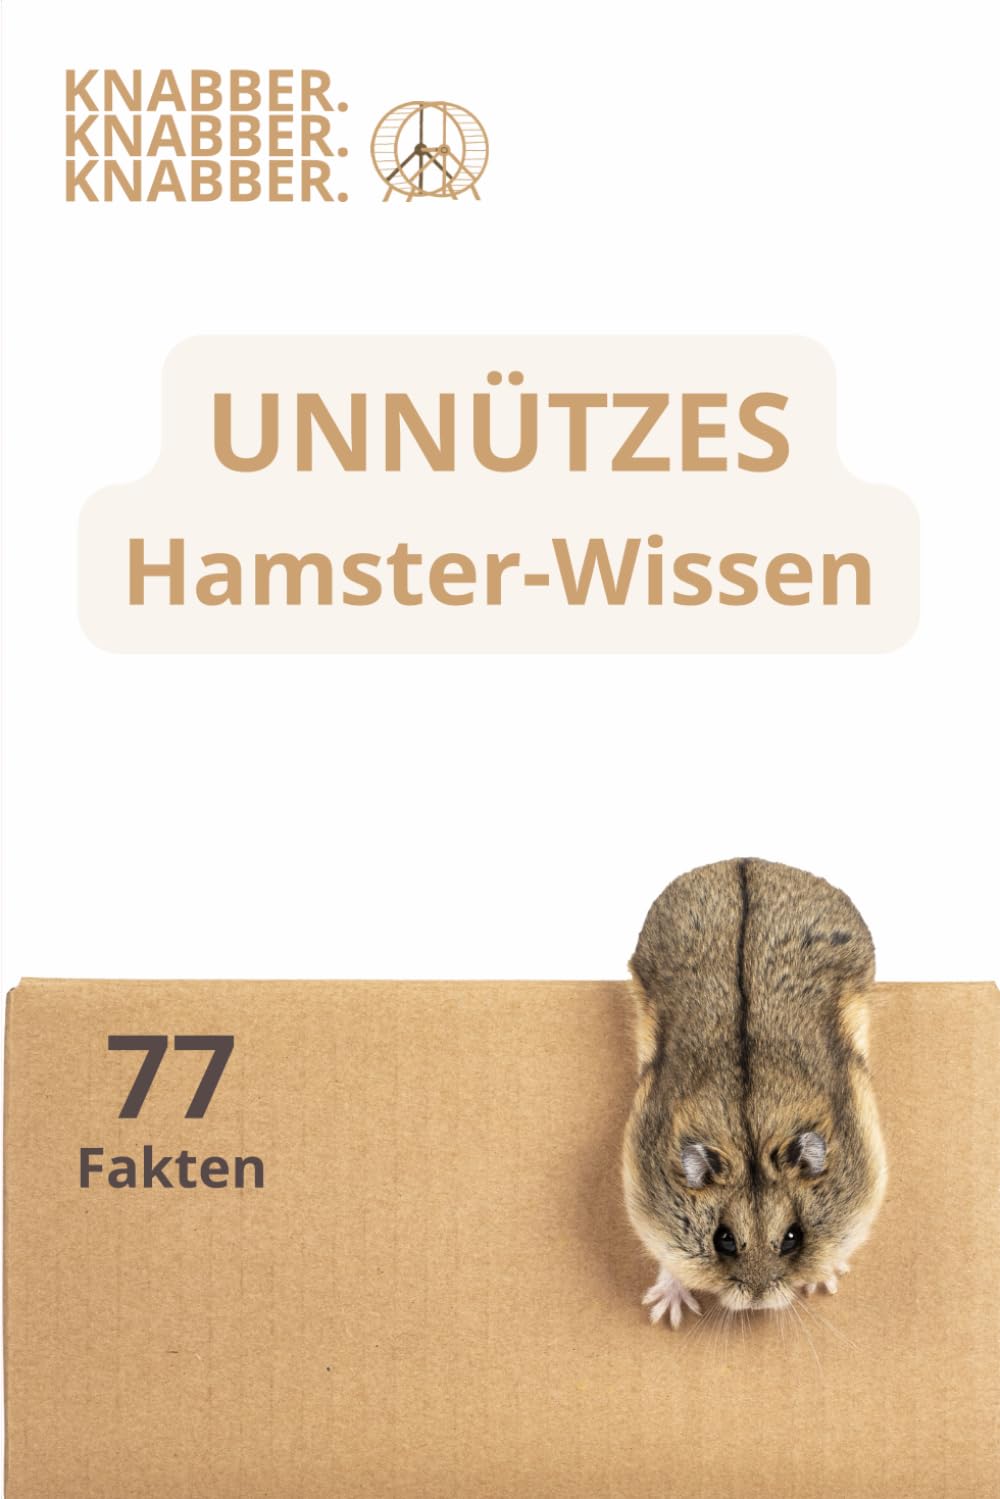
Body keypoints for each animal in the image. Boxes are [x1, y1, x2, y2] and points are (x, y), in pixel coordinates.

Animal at [622, 858, 887, 1327]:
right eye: (723, 1239)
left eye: (793, 1237)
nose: (759, 1301)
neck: (750, 1137)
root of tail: (746, 860)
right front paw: (668, 1314)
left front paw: (825, 1282)